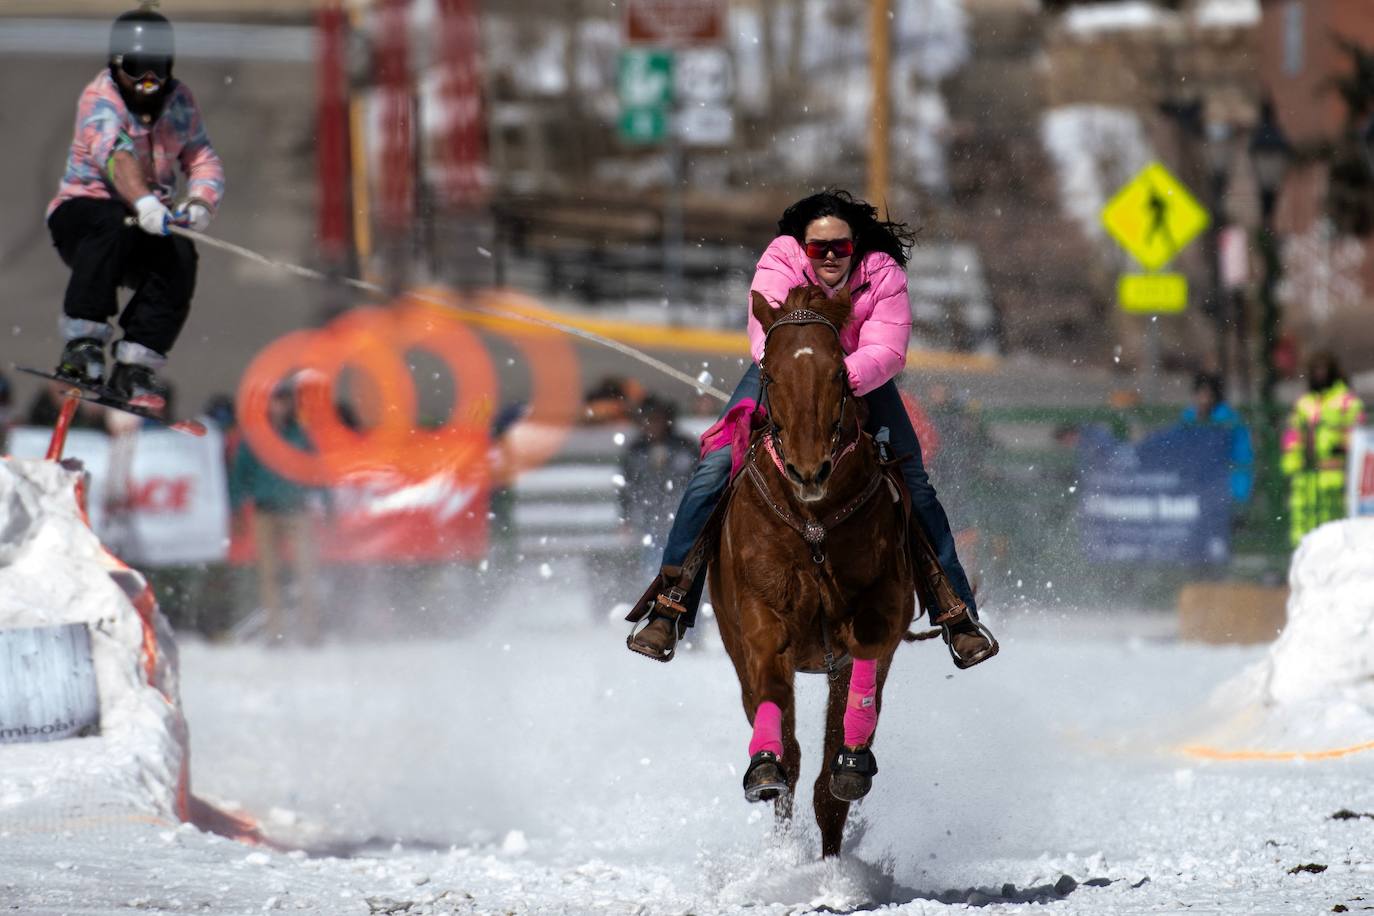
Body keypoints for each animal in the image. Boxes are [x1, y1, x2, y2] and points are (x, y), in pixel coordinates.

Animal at [708, 284, 912, 862]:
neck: (814, 524)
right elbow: (777, 709)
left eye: (840, 373)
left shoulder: (881, 612)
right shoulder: (760, 620)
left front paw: (850, 769)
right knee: (787, 748)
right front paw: (765, 768)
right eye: (769, 373)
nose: (808, 469)